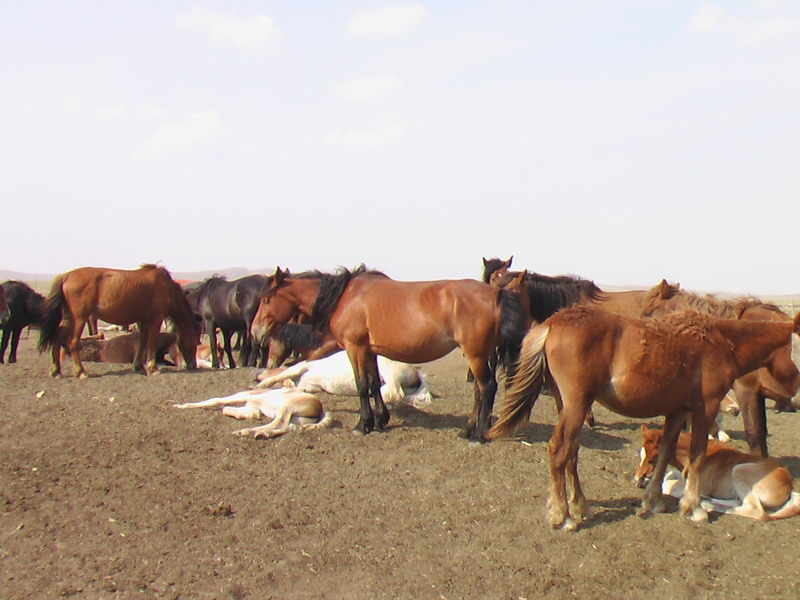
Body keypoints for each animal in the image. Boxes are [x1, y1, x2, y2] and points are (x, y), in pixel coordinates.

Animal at [38, 262, 202, 376]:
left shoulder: (143, 320)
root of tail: (66, 276)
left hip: (68, 318)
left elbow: (142, 342)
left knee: (57, 338)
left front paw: (138, 366)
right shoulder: (156, 318)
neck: (165, 287)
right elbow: (152, 342)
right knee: (72, 342)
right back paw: (81, 372)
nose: (193, 365)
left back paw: (56, 371)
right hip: (80, 318)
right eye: (195, 342)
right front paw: (152, 367)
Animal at [175, 386, 334, 438]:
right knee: (290, 427)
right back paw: (263, 434)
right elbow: (227, 409)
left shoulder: (246, 396)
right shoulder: (252, 405)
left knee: (280, 423)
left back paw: (244, 432)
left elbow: (217, 401)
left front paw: (179, 406)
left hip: (285, 408)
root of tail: (320, 406)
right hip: (295, 418)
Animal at [255, 352, 432, 408]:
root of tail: (416, 373)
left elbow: (281, 375)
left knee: (397, 393)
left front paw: (262, 384)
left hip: (387, 369)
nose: (256, 376)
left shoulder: (303, 367)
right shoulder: (311, 386)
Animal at [484, 308, 800, 532]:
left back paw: (578, 506)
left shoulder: (677, 411)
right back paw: (563, 516)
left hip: (568, 405)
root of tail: (553, 323)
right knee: (560, 452)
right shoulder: (705, 409)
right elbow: (698, 454)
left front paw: (653, 501)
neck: (722, 343)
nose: (794, 394)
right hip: (576, 405)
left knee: (571, 453)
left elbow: (666, 452)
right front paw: (693, 507)